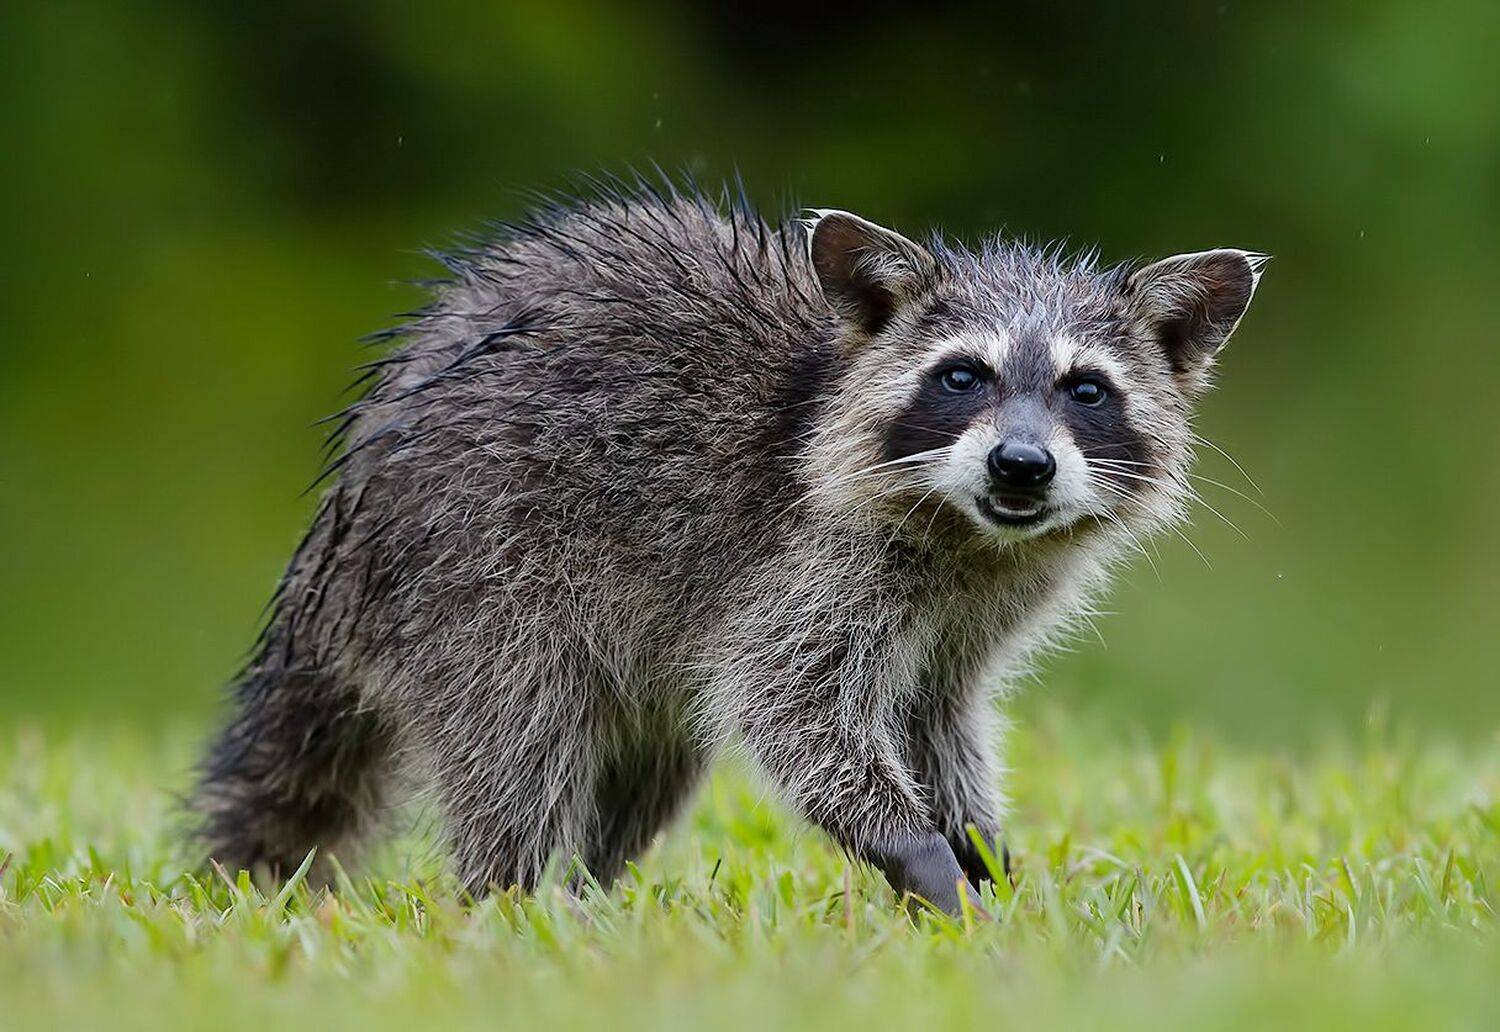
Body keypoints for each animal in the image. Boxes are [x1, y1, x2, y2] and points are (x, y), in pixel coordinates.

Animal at [194, 177, 1263, 914]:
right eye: (963, 376)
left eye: (1088, 390)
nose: (1023, 467)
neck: (967, 535)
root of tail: (342, 526)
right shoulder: (808, 563)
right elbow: (792, 711)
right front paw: (918, 852)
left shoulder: (966, 619)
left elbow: (936, 720)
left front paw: (979, 846)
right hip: (475, 571)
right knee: (519, 746)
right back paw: (514, 901)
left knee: (643, 770)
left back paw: (585, 899)